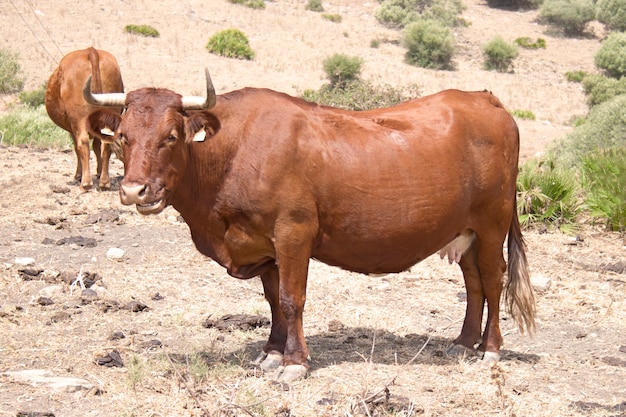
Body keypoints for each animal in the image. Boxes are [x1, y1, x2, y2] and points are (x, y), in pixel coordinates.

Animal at [44, 48, 123, 191]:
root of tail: (91, 51)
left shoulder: (73, 127)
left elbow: (77, 148)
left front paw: (78, 175)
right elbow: (97, 146)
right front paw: (98, 171)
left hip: (79, 118)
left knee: (83, 143)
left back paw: (86, 183)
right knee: (106, 144)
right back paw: (104, 182)